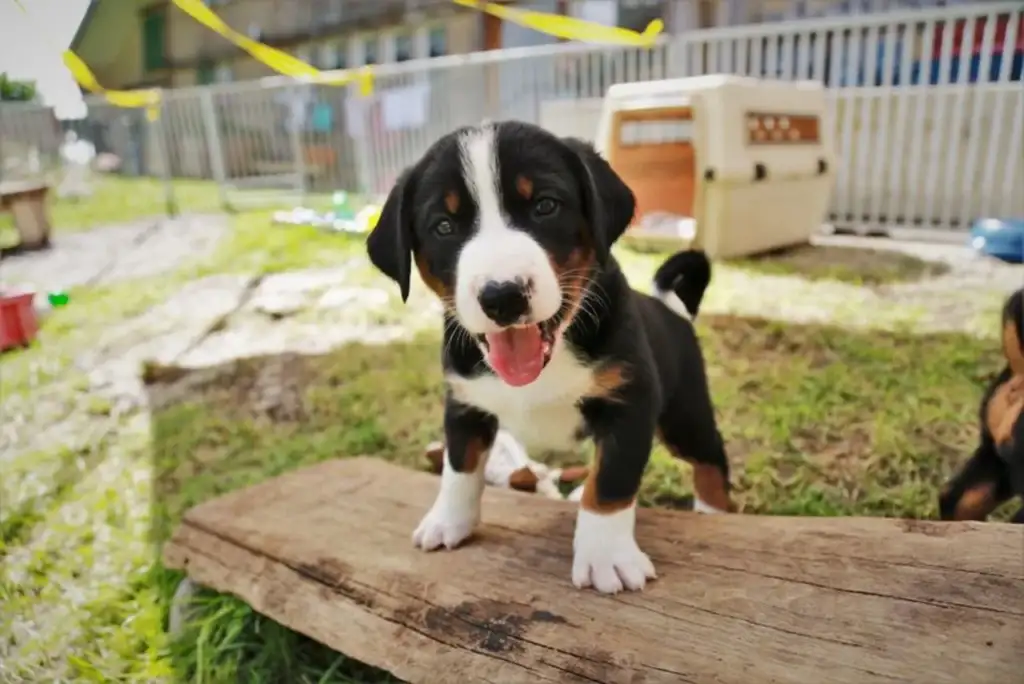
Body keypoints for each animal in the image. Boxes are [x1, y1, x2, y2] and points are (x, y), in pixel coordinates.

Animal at [364, 118, 733, 593]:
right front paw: (448, 522)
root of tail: (669, 306)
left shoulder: (629, 402)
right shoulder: (465, 403)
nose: (502, 296)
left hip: (685, 415)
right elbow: (459, 467)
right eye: (443, 226)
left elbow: (612, 481)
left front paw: (606, 556)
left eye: (544, 206)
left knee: (710, 458)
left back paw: (712, 511)